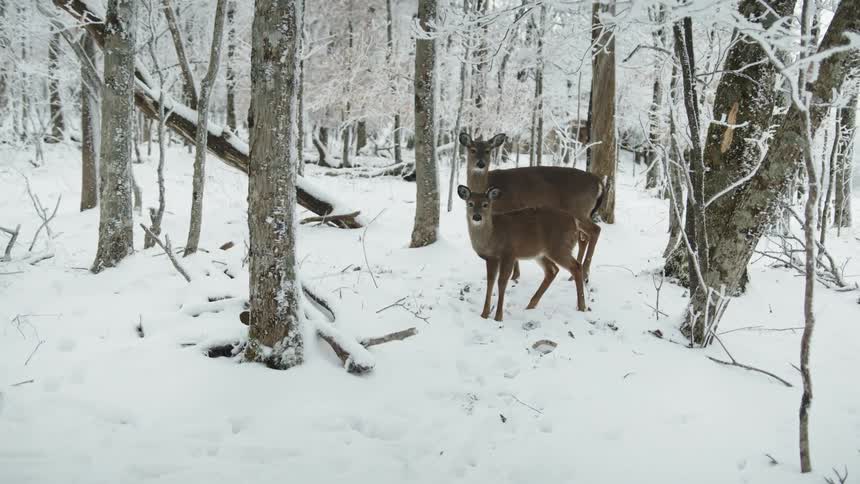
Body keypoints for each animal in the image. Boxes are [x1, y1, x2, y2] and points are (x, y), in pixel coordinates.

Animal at [458, 185, 587, 322]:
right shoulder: (491, 258)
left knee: (576, 266)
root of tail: (575, 222)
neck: (492, 236)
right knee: (552, 270)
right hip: (541, 253)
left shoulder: (509, 253)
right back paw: (530, 305)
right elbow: (490, 282)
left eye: (485, 204)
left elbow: (502, 281)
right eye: (470, 203)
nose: (477, 217)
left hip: (559, 247)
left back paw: (581, 307)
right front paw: (484, 314)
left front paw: (498, 317)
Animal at [459, 132, 605, 283]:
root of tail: (599, 183)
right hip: (581, 213)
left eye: (488, 150)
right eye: (472, 150)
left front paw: (515, 276)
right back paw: (574, 276)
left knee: (595, 230)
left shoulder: (508, 211)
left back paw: (585, 274)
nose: (480, 164)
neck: (486, 186)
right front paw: (515, 275)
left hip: (579, 209)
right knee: (584, 237)